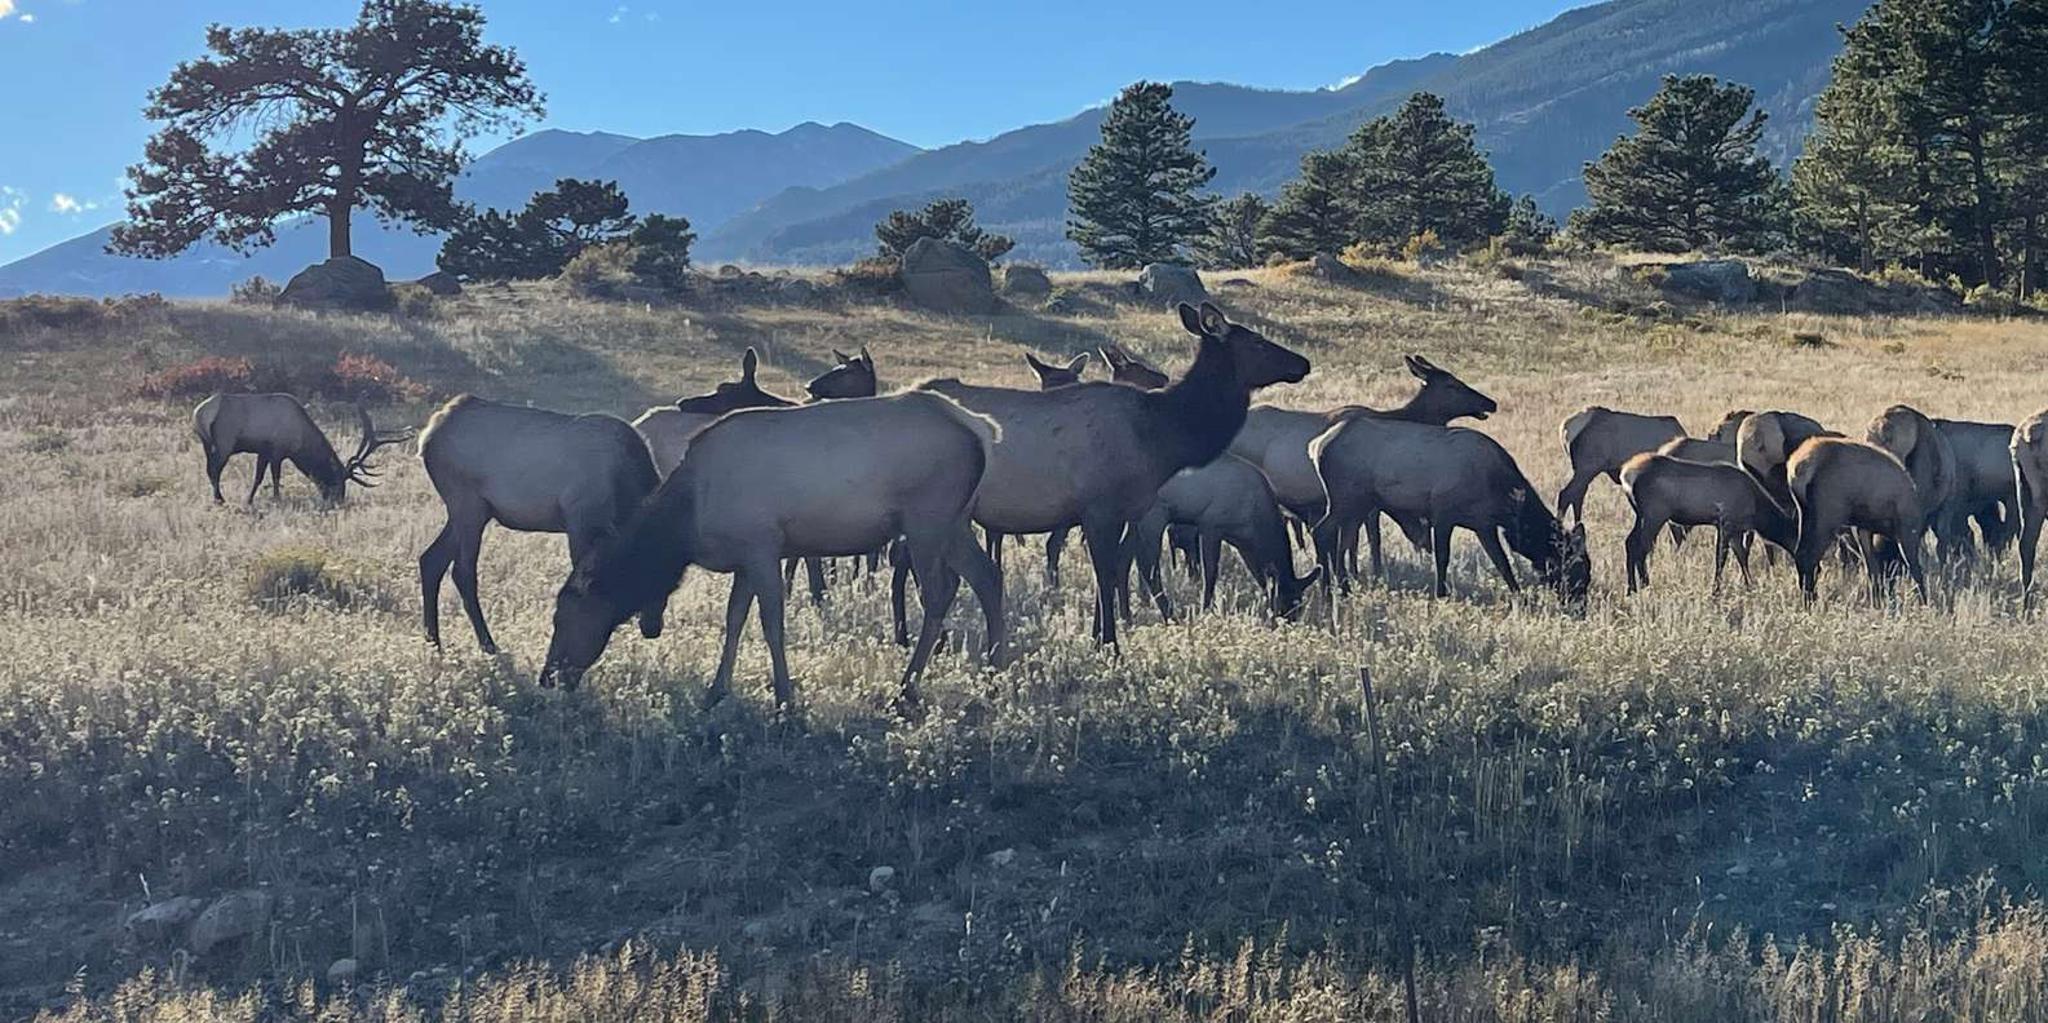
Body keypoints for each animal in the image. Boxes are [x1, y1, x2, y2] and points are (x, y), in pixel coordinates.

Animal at [193, 393, 409, 505]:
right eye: (337, 481)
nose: (338, 501)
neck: (301, 442)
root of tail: (199, 412)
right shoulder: (277, 451)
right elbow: (275, 478)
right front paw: (277, 500)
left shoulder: (264, 451)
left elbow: (258, 478)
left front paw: (250, 500)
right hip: (224, 443)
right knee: (214, 471)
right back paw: (219, 499)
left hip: (207, 444)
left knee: (209, 470)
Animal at [417, 395, 671, 655]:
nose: (653, 628)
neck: (625, 485)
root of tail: (428, 435)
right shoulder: (580, 521)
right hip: (469, 505)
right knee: (462, 572)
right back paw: (488, 645)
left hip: (472, 511)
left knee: (431, 559)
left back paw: (433, 642)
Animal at [540, 391, 1005, 712]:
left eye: (563, 617)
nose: (548, 677)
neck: (687, 522)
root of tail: (980, 429)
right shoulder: (745, 558)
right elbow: (733, 620)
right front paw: (715, 691)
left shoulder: (763, 545)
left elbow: (770, 623)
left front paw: (784, 697)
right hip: (954, 522)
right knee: (987, 577)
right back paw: (995, 676)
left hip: (927, 518)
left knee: (940, 593)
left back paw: (906, 690)